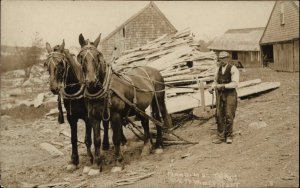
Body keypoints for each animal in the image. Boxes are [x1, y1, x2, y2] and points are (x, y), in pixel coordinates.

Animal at [43, 40, 110, 171]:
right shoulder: (71, 117)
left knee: (105, 123)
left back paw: (105, 145)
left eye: (60, 63)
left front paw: (90, 157)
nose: (54, 88)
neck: (74, 88)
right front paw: (74, 160)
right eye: (47, 64)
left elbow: (88, 139)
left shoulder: (88, 117)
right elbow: (73, 138)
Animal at [76, 33, 172, 170]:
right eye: (81, 57)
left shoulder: (115, 115)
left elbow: (116, 138)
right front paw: (96, 164)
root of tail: (154, 70)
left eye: (98, 56)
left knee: (158, 118)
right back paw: (146, 147)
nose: (91, 81)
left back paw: (159, 145)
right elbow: (97, 140)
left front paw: (118, 161)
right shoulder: (94, 117)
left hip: (158, 99)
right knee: (146, 121)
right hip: (140, 107)